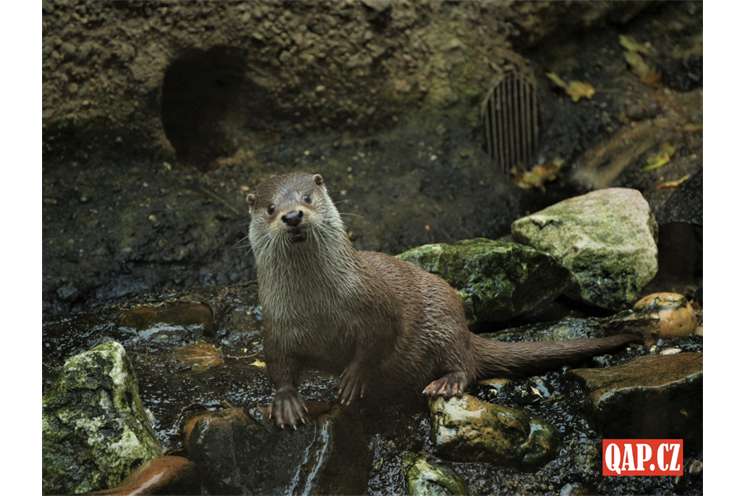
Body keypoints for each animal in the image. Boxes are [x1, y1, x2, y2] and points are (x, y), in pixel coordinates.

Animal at [247, 172, 636, 428]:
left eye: (307, 198)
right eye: (270, 207)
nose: (292, 215)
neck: (318, 307)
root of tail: (466, 329)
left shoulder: (375, 302)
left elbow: (378, 339)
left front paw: (354, 377)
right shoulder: (276, 323)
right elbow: (279, 365)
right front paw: (286, 402)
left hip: (445, 322)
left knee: (465, 365)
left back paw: (446, 383)